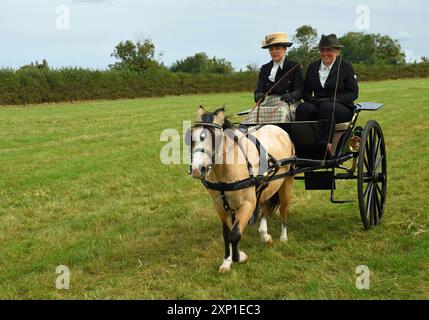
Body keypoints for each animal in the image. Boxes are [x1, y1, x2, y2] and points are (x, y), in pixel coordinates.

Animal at [188, 106, 294, 272]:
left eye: (216, 138)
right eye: (191, 137)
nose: (198, 170)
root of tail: (278, 128)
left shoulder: (247, 205)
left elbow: (235, 234)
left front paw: (241, 257)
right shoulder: (220, 207)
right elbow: (227, 234)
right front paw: (226, 261)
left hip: (286, 182)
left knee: (283, 208)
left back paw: (283, 237)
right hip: (265, 186)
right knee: (265, 207)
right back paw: (265, 235)